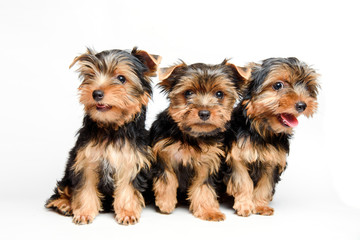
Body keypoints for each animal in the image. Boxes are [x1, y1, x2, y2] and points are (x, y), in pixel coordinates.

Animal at [46, 47, 160, 225]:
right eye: (91, 76)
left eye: (121, 78)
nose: (96, 93)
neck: (111, 128)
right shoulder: (85, 160)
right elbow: (85, 187)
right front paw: (84, 212)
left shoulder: (132, 160)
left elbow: (127, 188)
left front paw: (127, 213)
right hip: (69, 167)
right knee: (63, 187)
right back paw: (64, 204)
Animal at [150, 60, 249, 221]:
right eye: (188, 93)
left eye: (219, 94)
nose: (204, 113)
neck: (193, 136)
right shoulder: (164, 153)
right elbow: (167, 177)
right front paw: (165, 203)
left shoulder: (207, 161)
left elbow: (203, 186)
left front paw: (209, 210)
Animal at [226, 57, 320, 217]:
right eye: (278, 85)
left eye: (307, 87)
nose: (302, 105)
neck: (261, 131)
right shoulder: (237, 156)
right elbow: (243, 181)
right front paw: (244, 205)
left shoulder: (273, 161)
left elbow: (265, 184)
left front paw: (260, 206)